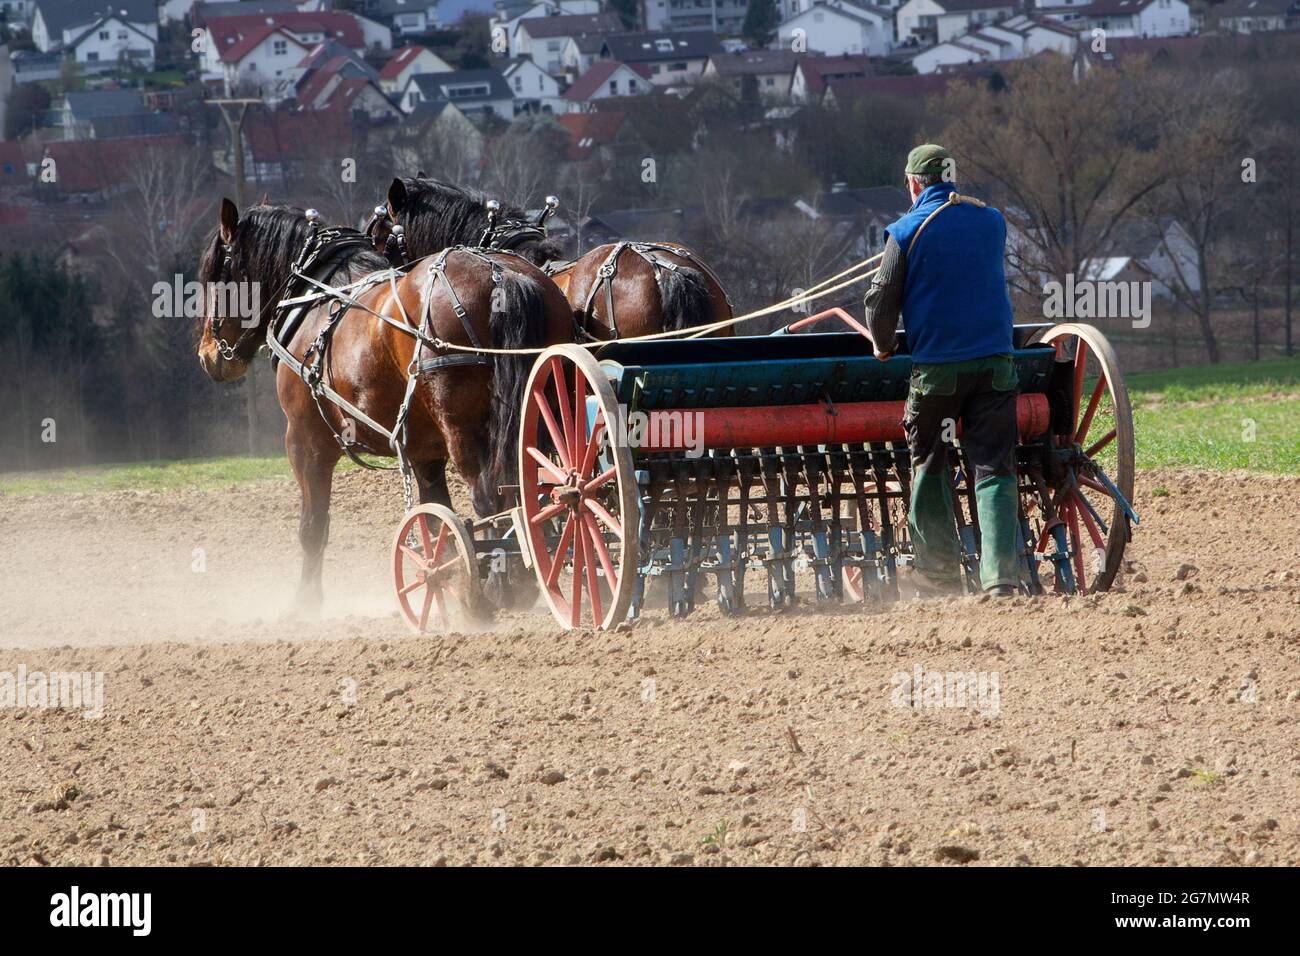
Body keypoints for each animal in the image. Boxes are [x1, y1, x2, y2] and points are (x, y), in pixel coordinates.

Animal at [195, 202, 572, 621]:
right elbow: (437, 517)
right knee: (533, 491)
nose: (208, 354)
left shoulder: (305, 441)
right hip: (541, 406)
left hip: (464, 428)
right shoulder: (424, 450)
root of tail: (501, 274)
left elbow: (313, 525)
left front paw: (305, 603)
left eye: (215, 275)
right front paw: (442, 574)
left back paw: (501, 585)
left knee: (490, 494)